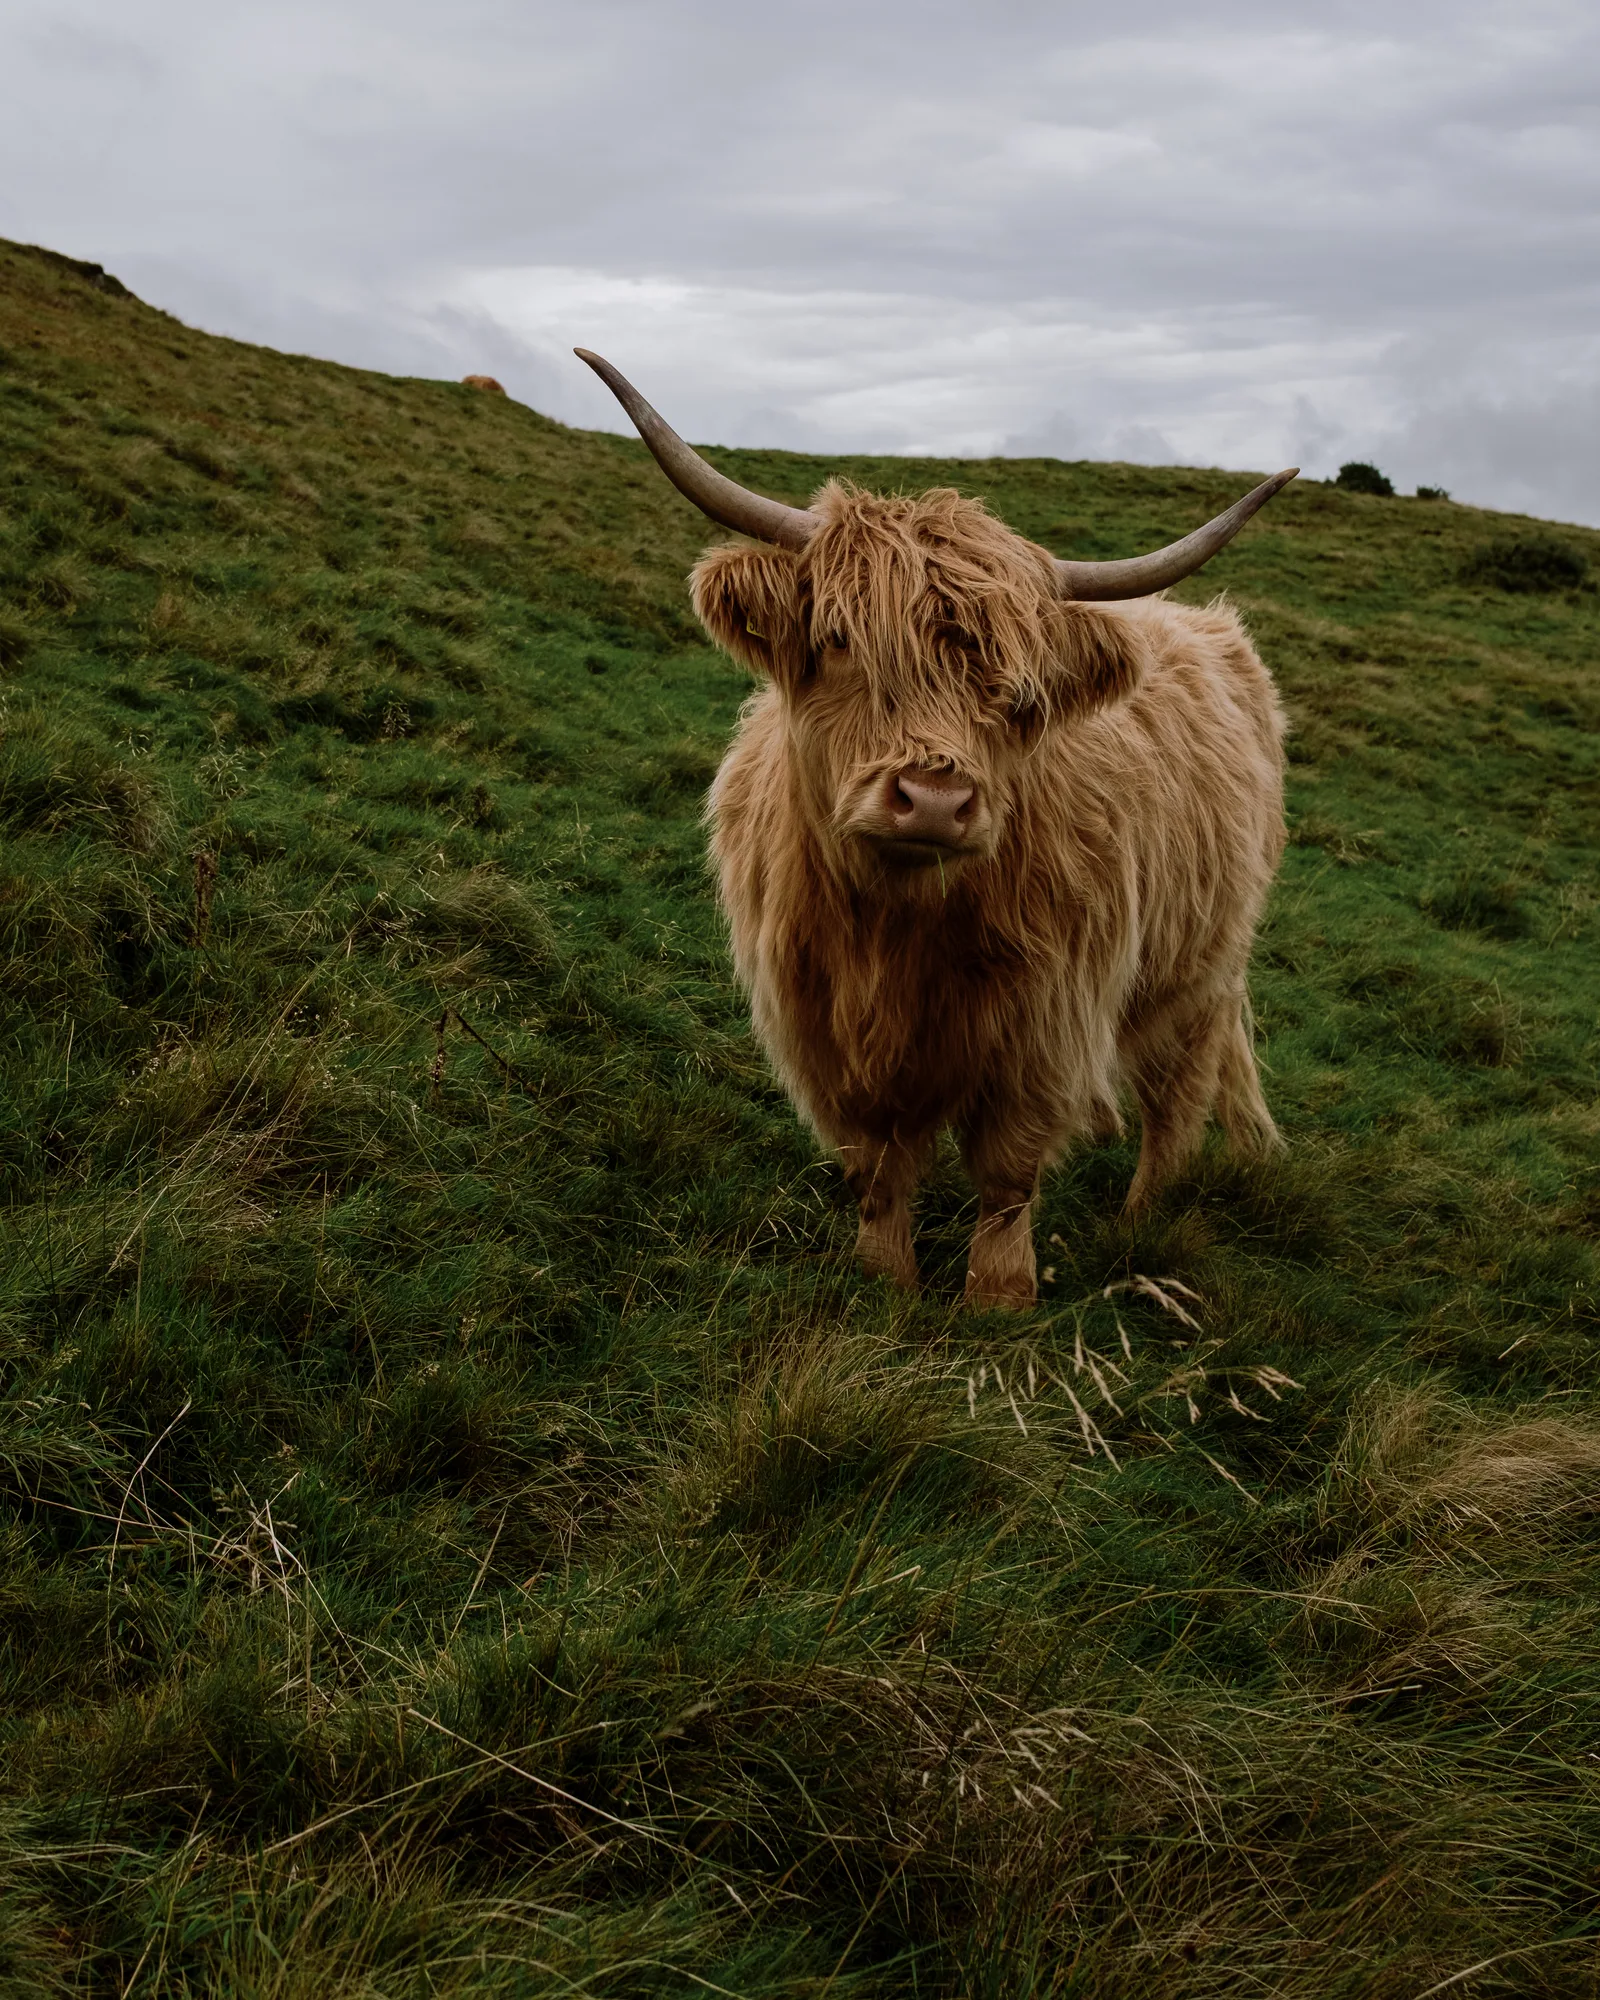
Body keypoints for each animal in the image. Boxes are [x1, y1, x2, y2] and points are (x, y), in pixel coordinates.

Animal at [577, 349, 1294, 1310]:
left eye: (1018, 688)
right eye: (839, 638)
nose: (933, 799)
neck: (897, 928)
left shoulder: (1046, 1025)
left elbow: (1008, 1171)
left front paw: (999, 1296)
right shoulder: (820, 1027)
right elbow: (876, 1165)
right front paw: (884, 1279)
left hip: (1199, 970)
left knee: (1177, 1101)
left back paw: (1140, 1224)